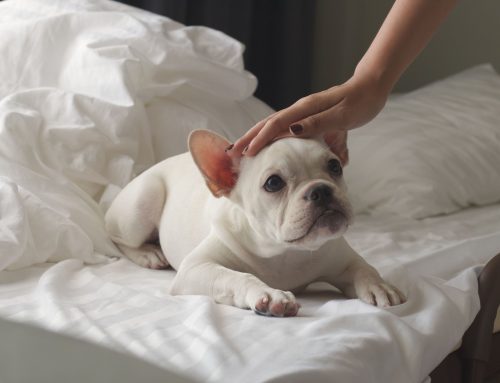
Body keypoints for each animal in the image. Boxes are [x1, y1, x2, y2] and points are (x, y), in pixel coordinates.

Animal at [104, 130, 402, 316]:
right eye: (273, 183)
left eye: (335, 166)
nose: (321, 189)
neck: (283, 252)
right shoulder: (195, 268)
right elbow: (235, 276)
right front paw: (269, 295)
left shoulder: (341, 259)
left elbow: (363, 267)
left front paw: (379, 285)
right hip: (143, 201)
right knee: (117, 239)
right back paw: (149, 253)